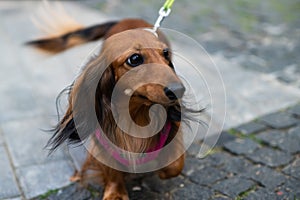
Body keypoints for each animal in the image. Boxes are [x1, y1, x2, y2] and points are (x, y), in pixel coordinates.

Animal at [29, 18, 186, 199]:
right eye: (134, 59)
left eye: (165, 54)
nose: (179, 90)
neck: (135, 115)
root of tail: (128, 19)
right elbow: (111, 169)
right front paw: (115, 192)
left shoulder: (173, 128)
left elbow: (174, 166)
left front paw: (161, 167)